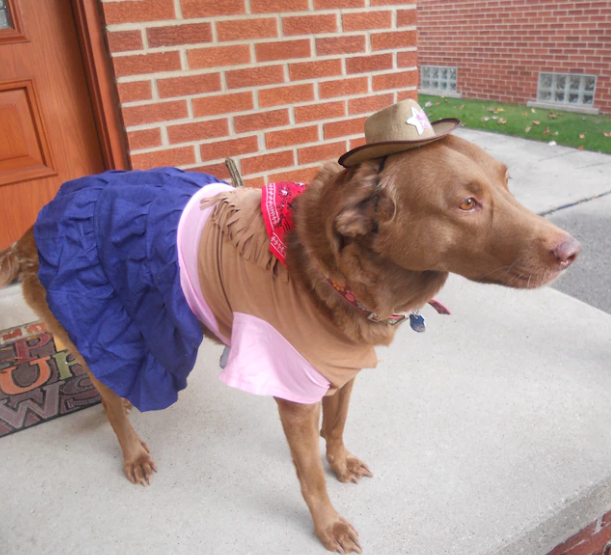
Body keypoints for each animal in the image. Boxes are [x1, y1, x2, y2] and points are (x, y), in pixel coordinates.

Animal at [0, 134, 580, 552]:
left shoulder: (341, 369)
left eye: (507, 183)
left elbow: (337, 426)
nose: (571, 251)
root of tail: (33, 227)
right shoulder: (294, 394)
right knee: (109, 394)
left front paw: (340, 462)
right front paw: (328, 525)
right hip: (100, 324)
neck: (330, 271)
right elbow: (309, 476)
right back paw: (133, 450)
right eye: (466, 203)